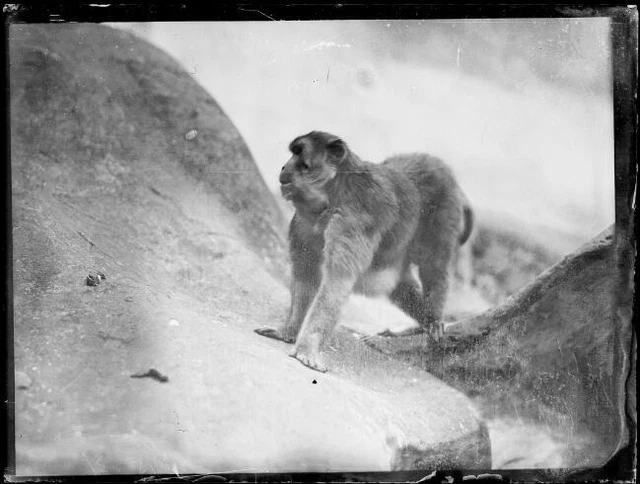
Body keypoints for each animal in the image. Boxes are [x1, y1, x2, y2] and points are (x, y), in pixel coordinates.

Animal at [255, 131, 473, 372]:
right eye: (293, 152)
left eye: (299, 153)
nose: (284, 167)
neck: (334, 195)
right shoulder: (303, 223)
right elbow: (306, 276)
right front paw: (288, 331)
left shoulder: (351, 222)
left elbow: (336, 283)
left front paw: (307, 348)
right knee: (399, 285)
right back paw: (422, 320)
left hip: (444, 212)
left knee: (434, 264)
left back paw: (433, 318)